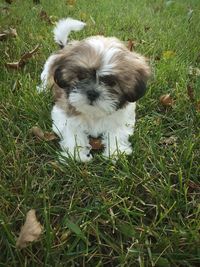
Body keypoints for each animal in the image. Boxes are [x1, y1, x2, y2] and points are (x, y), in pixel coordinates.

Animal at [38, 18, 150, 163]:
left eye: (111, 82)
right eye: (81, 76)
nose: (92, 93)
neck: (94, 113)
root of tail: (64, 47)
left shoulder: (122, 118)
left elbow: (117, 132)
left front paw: (116, 152)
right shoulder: (64, 114)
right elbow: (73, 131)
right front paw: (76, 155)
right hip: (47, 71)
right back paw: (42, 90)